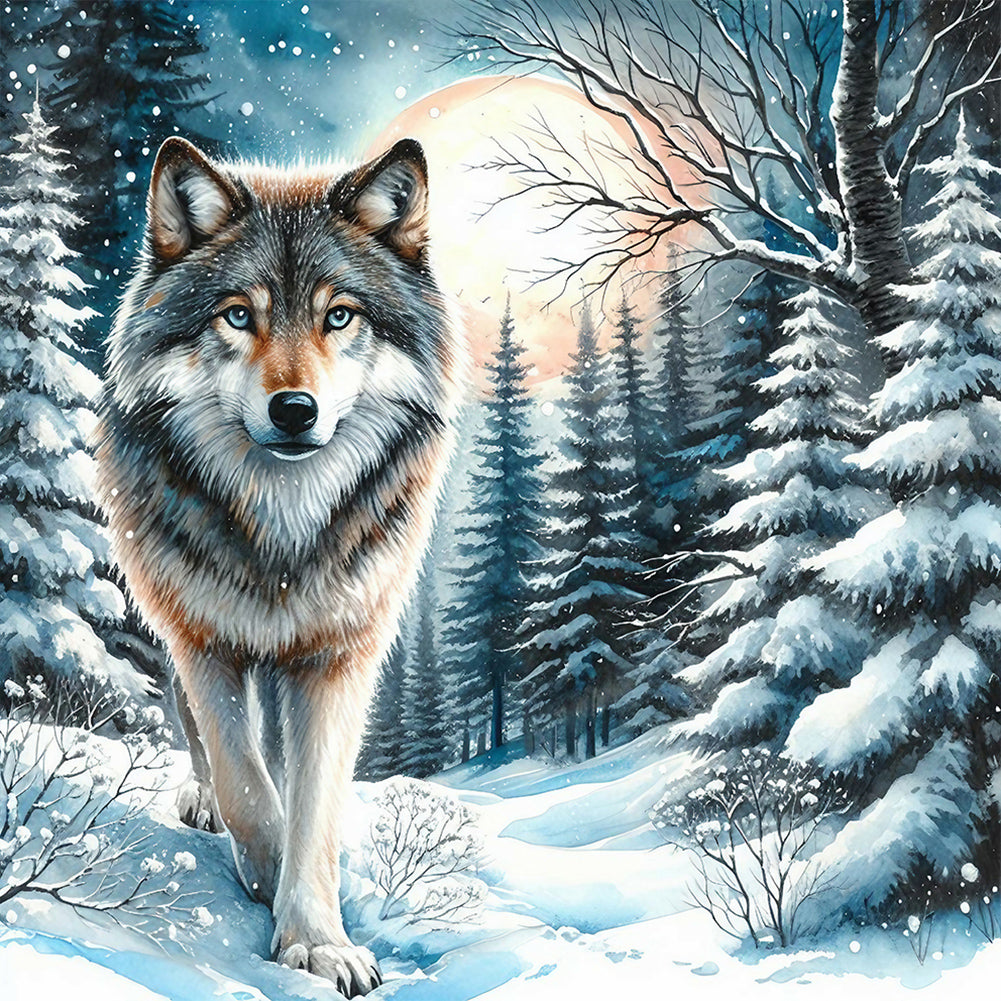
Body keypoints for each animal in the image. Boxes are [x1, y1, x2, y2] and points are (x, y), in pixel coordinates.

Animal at [95, 135, 463, 996]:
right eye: (238, 314)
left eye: (340, 315)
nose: (295, 410)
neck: (282, 534)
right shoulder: (203, 639)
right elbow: (245, 783)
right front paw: (263, 875)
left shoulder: (339, 656)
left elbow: (314, 804)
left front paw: (318, 939)